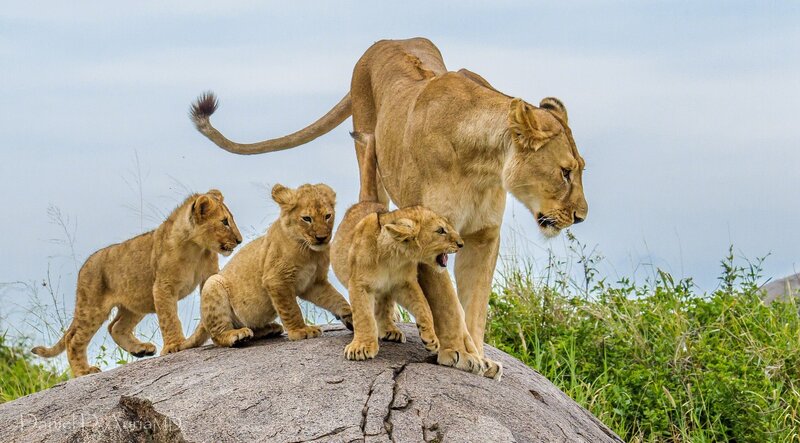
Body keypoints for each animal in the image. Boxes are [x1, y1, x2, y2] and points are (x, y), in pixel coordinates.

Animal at [32, 190, 242, 376]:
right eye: (224, 222)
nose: (239, 240)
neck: (196, 247)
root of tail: (84, 266)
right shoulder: (162, 287)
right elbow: (169, 318)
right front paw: (175, 345)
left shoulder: (208, 274)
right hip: (92, 307)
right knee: (73, 339)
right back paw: (83, 372)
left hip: (135, 303)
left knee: (115, 327)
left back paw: (140, 350)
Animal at [179, 183, 353, 349]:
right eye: (307, 218)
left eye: (327, 216)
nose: (322, 238)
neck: (310, 252)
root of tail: (202, 319)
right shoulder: (276, 279)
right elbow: (291, 308)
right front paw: (301, 331)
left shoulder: (313, 283)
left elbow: (336, 298)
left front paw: (351, 316)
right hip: (212, 284)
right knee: (217, 335)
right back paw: (237, 336)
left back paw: (270, 329)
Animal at [331, 132, 502, 379]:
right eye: (441, 230)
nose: (461, 243)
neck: (394, 257)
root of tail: (369, 202)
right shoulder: (359, 284)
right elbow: (363, 315)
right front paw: (362, 347)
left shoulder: (404, 283)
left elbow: (424, 307)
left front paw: (431, 339)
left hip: (387, 291)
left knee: (384, 305)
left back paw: (390, 330)